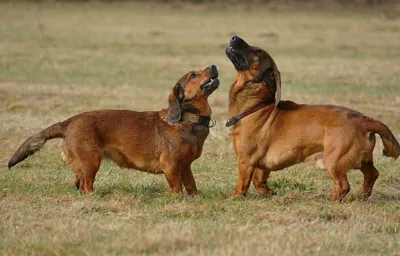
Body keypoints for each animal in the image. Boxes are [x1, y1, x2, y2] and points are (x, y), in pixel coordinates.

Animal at [8, 65, 219, 195]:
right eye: (193, 75)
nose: (214, 66)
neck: (188, 118)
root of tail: (67, 122)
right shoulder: (172, 166)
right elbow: (177, 188)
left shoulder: (185, 166)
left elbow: (191, 184)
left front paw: (196, 197)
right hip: (91, 162)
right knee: (85, 186)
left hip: (83, 165)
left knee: (78, 184)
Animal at [227, 36, 398, 201]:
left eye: (257, 52)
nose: (234, 37)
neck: (257, 105)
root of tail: (364, 120)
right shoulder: (262, 165)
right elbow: (259, 181)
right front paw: (268, 193)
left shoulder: (246, 160)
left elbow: (243, 183)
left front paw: (236, 198)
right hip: (363, 160)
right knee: (372, 174)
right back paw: (363, 195)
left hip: (334, 161)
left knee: (343, 185)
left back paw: (332, 201)